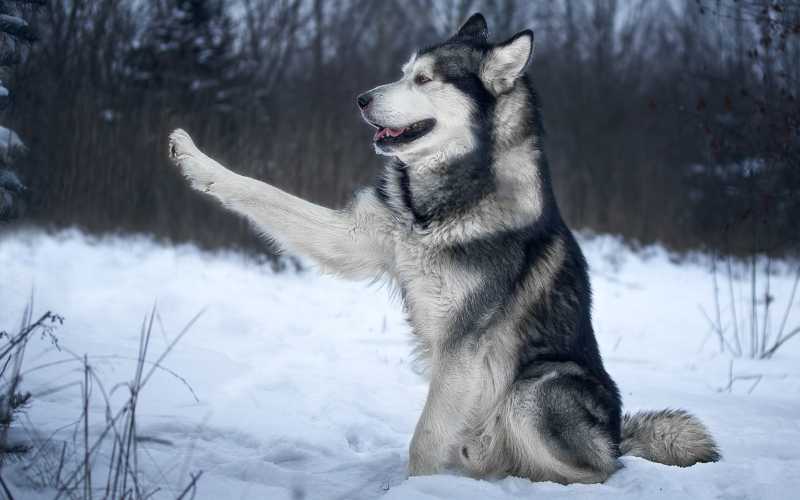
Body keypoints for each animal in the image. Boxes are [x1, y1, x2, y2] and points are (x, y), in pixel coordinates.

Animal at [167, 13, 720, 484]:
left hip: (535, 389)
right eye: (403, 73)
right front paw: (194, 159)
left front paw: (416, 488)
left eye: (425, 80)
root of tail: (617, 437)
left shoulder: (463, 345)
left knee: (597, 470)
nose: (361, 99)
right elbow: (260, 190)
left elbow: (425, 439)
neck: (439, 208)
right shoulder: (358, 239)